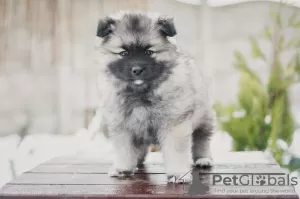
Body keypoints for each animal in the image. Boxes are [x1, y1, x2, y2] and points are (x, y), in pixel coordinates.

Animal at [94, 11, 216, 183]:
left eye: (148, 52)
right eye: (124, 53)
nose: (137, 70)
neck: (140, 92)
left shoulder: (173, 125)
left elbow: (175, 152)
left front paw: (178, 173)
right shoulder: (122, 127)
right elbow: (125, 150)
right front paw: (123, 168)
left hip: (203, 118)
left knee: (202, 139)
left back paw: (203, 159)